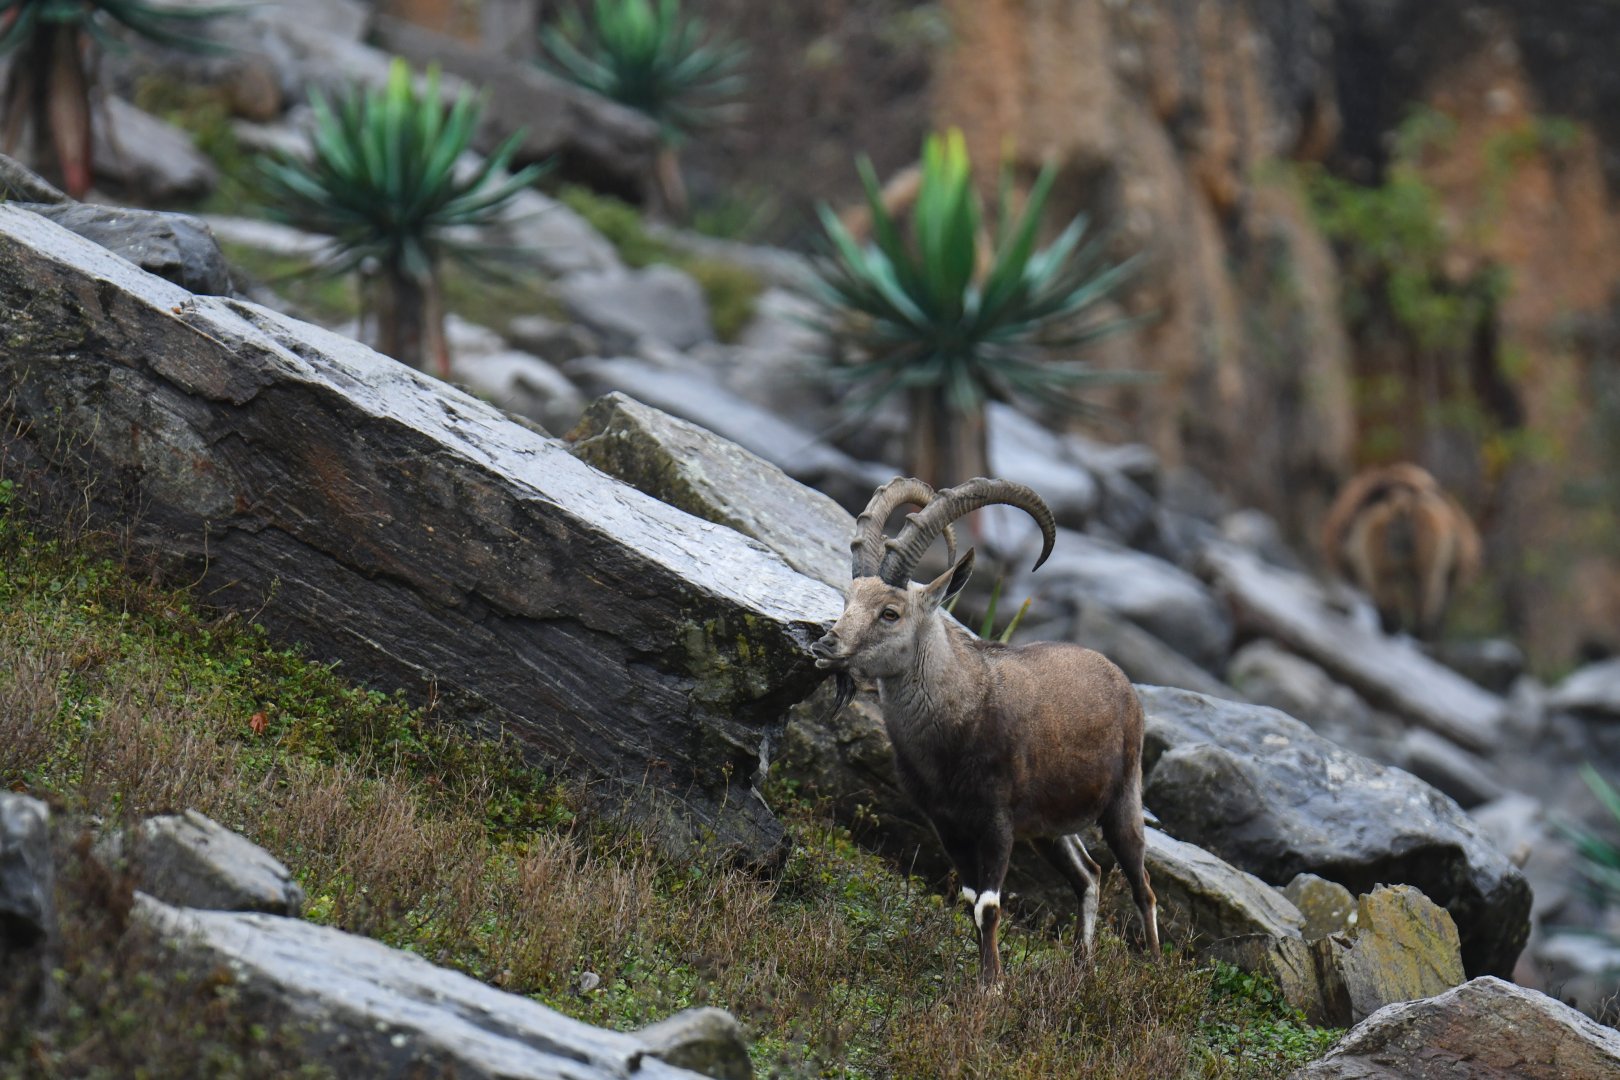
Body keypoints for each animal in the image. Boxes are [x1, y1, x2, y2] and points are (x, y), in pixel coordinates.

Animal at [810, 477, 1159, 984]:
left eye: (890, 613)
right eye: (846, 601)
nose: (826, 645)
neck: (958, 719)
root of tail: (1120, 678)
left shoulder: (997, 822)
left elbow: (990, 906)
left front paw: (992, 987)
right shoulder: (947, 823)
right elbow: (971, 899)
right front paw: (981, 978)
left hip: (1122, 802)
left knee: (1142, 885)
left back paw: (1155, 968)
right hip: (1048, 830)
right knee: (1089, 874)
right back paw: (1081, 966)